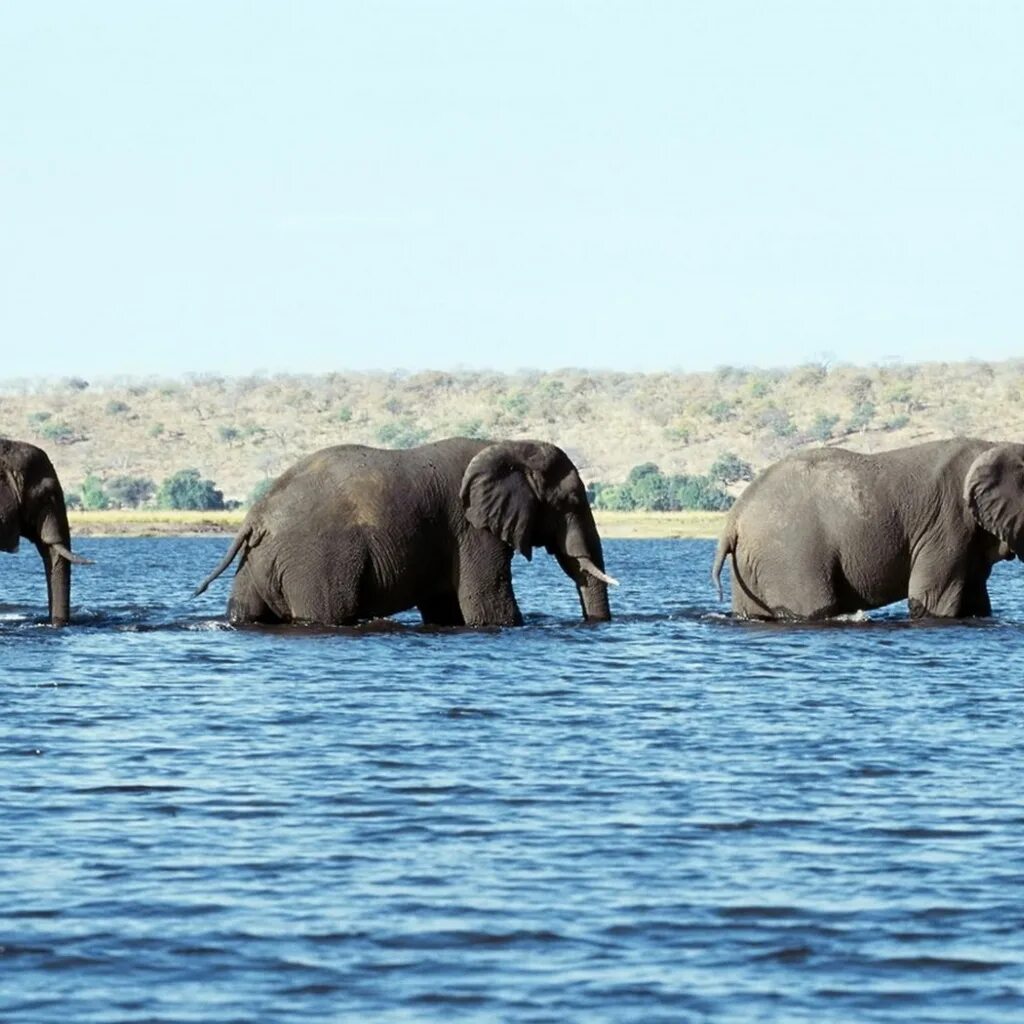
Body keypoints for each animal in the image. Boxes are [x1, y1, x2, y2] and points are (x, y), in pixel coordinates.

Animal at [197, 436, 614, 626]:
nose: (594, 624)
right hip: (314, 563)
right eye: (572, 500)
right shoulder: (472, 529)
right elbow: (488, 604)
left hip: (259, 562)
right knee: (330, 611)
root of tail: (257, 515)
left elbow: (447, 609)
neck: (509, 445)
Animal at [712, 438, 1024, 618]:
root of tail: (735, 517)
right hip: (789, 554)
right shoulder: (949, 523)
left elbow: (976, 601)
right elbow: (933, 602)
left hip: (753, 562)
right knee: (812, 607)